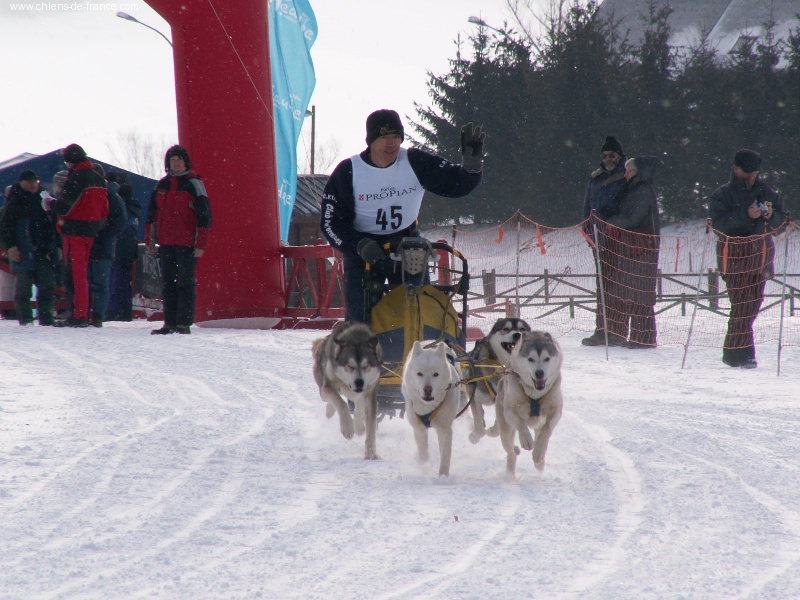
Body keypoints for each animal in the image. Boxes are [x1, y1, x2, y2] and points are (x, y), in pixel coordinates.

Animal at [404, 342, 466, 478]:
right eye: (419, 373)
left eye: (436, 374)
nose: (428, 389)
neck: (427, 407)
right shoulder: (419, 429)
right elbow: (423, 454)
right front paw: (424, 467)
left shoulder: (445, 429)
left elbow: (445, 456)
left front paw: (443, 477)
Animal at [494, 330, 564, 476]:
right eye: (530, 359)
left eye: (547, 358)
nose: (539, 373)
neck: (535, 394)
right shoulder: (509, 410)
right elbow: (520, 423)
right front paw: (526, 440)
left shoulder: (556, 410)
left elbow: (547, 429)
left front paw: (538, 453)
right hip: (505, 431)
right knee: (510, 452)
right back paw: (510, 472)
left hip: (537, 425)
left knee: (539, 434)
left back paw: (539, 461)